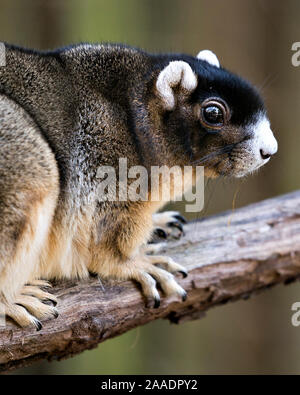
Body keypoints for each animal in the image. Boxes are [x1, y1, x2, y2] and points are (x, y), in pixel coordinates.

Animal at [0, 43, 276, 330]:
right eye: (213, 114)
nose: (269, 151)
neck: (134, 121)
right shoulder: (106, 164)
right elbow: (102, 241)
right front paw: (134, 263)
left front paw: (157, 223)